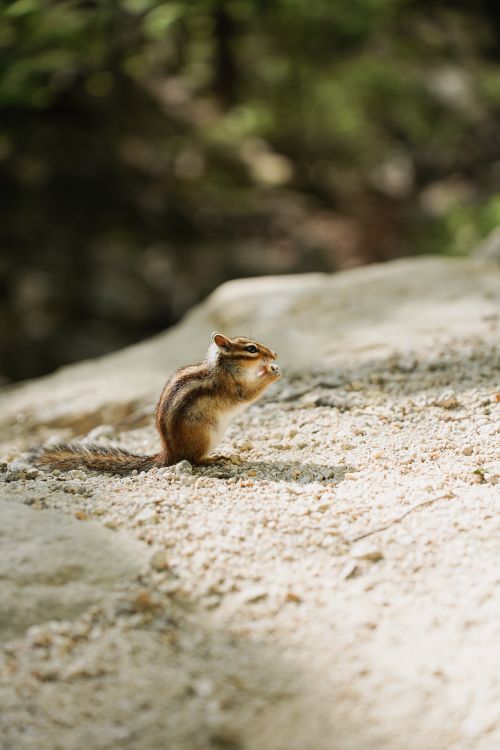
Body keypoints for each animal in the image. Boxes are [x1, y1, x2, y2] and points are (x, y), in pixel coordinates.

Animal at [30, 332, 282, 475]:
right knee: (194, 460)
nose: (275, 354)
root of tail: (169, 453)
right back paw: (215, 458)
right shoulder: (233, 388)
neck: (224, 367)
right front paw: (271, 372)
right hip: (205, 436)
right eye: (251, 349)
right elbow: (250, 394)